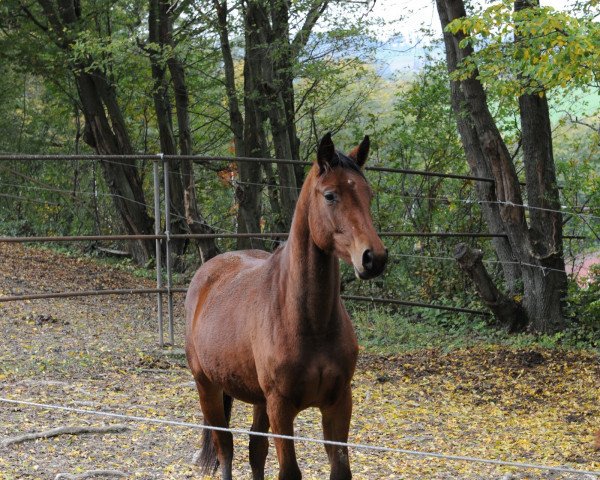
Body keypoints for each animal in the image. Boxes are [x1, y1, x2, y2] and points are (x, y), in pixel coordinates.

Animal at [185, 132, 386, 480]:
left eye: (368, 194)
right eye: (330, 195)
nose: (374, 258)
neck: (310, 322)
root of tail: (207, 272)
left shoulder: (338, 402)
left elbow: (340, 469)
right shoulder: (281, 407)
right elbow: (289, 471)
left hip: (256, 398)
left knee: (255, 449)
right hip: (207, 386)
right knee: (226, 448)